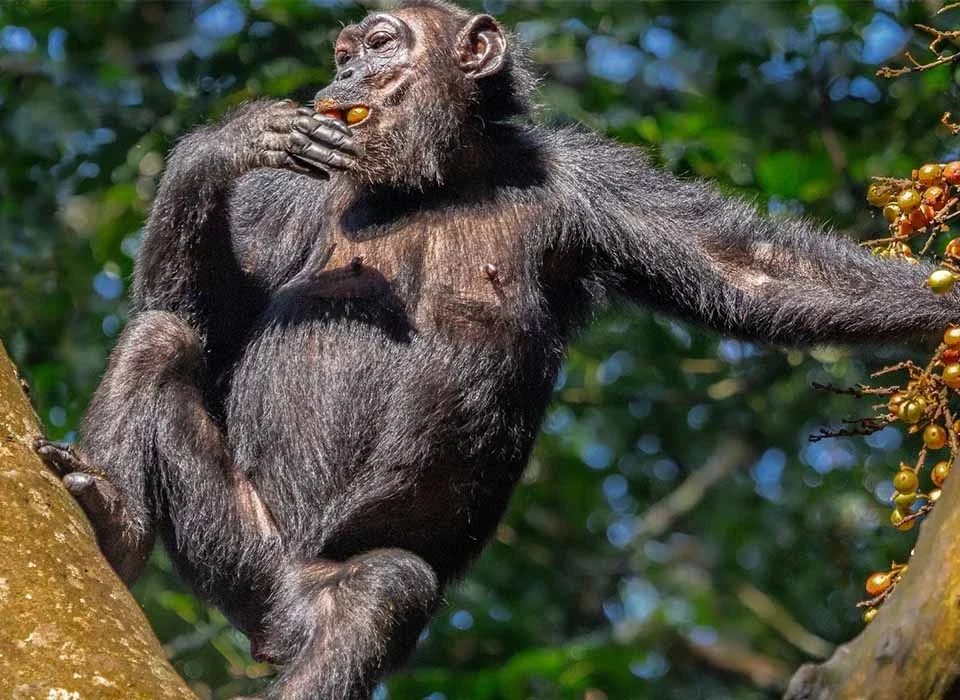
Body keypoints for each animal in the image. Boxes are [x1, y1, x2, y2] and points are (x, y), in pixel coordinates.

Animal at [33, 1, 960, 698]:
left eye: (381, 43)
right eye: (344, 51)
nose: (344, 74)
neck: (438, 176)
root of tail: (275, 621)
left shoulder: (588, 179)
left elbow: (751, 269)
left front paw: (940, 305)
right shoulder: (281, 197)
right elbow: (202, 316)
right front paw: (226, 140)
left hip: (302, 592)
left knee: (380, 597)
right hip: (241, 554)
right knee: (160, 338)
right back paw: (112, 521)